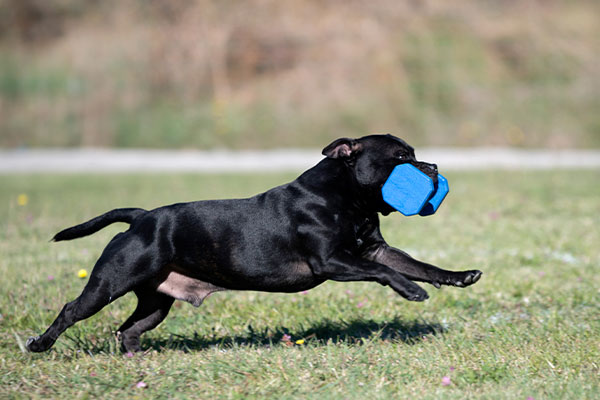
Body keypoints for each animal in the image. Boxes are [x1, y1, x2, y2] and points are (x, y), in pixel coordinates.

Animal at [25, 135, 480, 354]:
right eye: (401, 157)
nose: (433, 166)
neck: (344, 195)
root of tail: (142, 218)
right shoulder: (334, 262)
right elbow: (386, 272)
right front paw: (410, 290)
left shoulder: (370, 250)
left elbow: (418, 264)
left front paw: (458, 276)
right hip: (110, 283)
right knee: (71, 310)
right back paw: (40, 345)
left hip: (155, 302)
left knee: (128, 329)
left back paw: (138, 359)